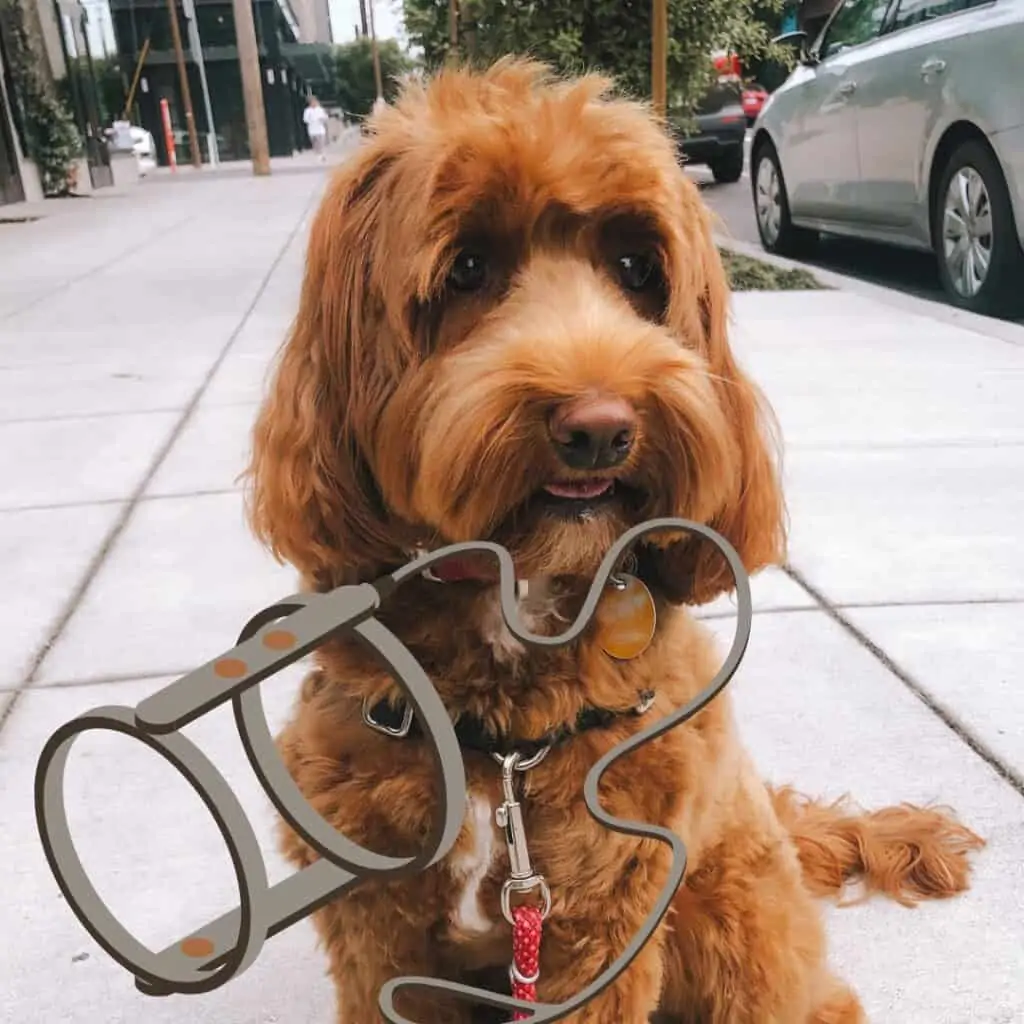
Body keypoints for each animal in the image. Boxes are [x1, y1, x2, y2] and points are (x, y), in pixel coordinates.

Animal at [241, 59, 983, 1019]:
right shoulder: (379, 933)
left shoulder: (605, 922)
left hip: (735, 926)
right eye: (467, 267)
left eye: (637, 268)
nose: (600, 429)